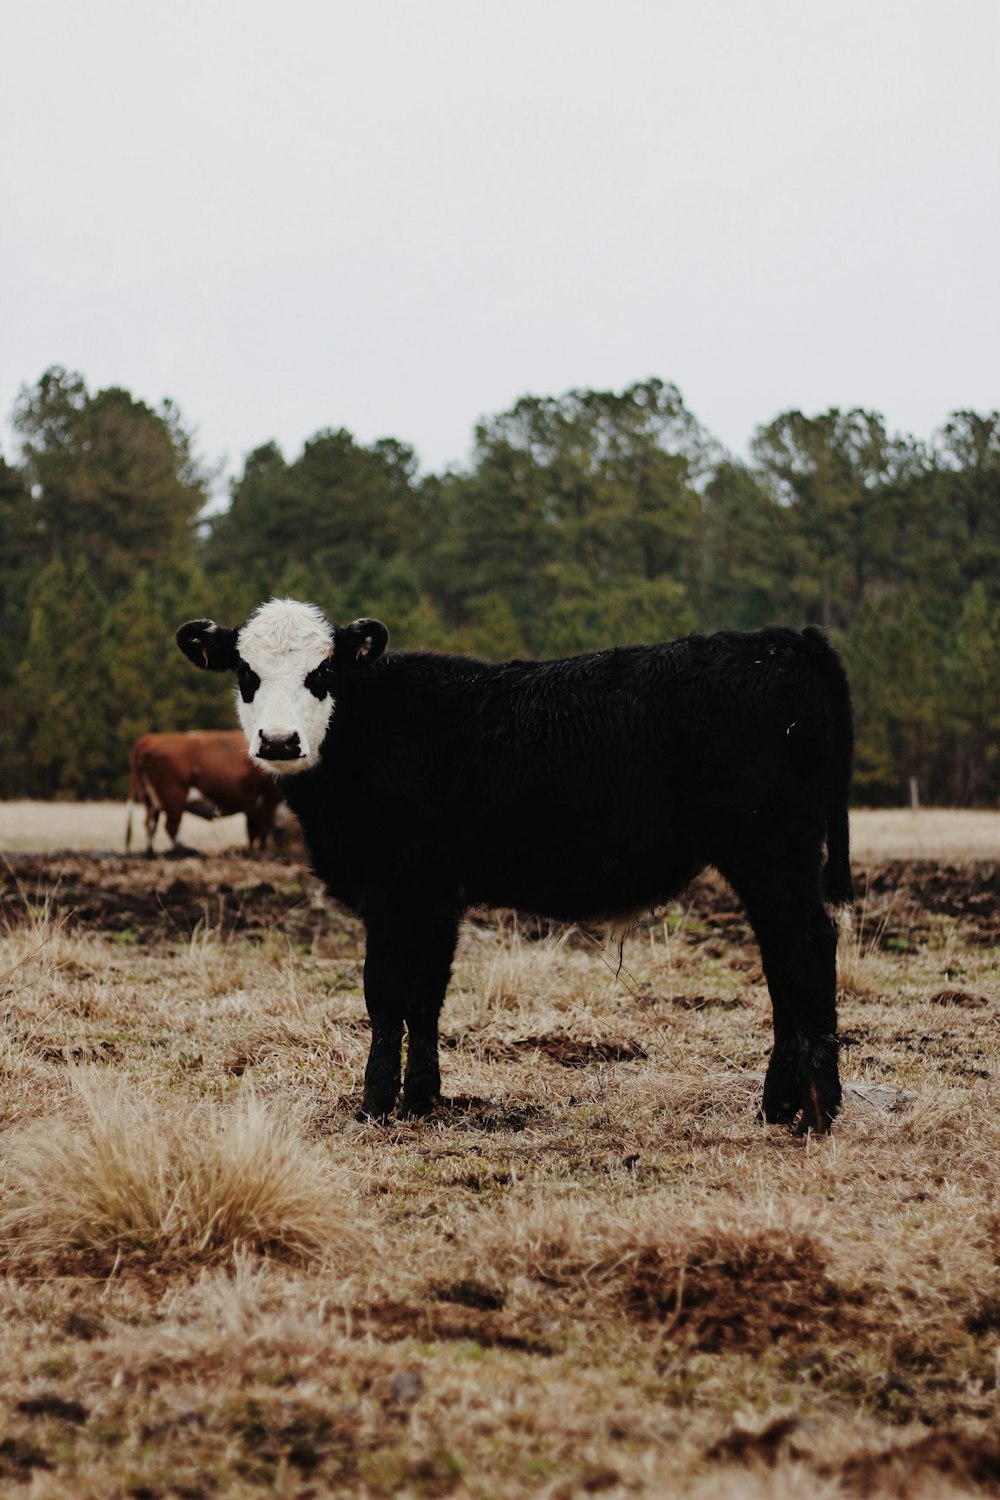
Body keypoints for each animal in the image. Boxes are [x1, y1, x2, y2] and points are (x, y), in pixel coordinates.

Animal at [125, 735, 281, 864]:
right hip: (173, 797)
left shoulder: (253, 805)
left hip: (151, 800)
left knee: (151, 824)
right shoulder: (268, 798)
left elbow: (252, 831)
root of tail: (149, 739)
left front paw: (251, 852)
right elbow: (263, 828)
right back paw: (183, 852)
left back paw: (151, 854)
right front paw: (262, 853)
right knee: (171, 825)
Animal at [177, 603, 851, 1128]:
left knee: (808, 951)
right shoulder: (435, 896)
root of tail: (781, 640)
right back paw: (778, 1106)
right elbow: (426, 997)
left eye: (321, 672)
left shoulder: (394, 892)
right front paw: (421, 1102)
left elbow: (385, 996)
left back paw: (816, 1111)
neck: (369, 731)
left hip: (773, 855)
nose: (279, 741)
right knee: (783, 964)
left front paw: (374, 1106)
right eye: (246, 672)